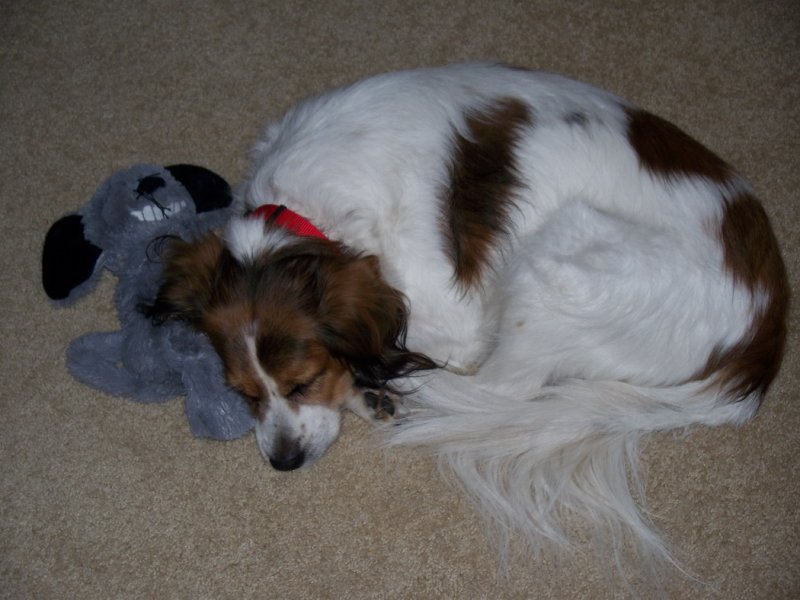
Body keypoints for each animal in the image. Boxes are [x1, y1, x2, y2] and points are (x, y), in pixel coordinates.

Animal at [147, 63, 788, 574]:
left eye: (303, 382)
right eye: (244, 394)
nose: (284, 463)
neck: (305, 214)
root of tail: (767, 328)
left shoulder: (453, 316)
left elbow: (394, 351)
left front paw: (365, 384)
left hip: (557, 264)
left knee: (501, 393)